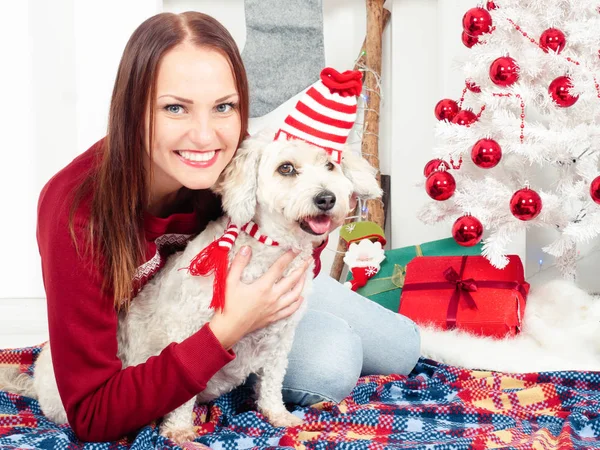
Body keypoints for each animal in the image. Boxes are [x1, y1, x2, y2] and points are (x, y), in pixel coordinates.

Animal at [0, 134, 382, 442]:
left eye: (330, 164)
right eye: (286, 168)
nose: (326, 198)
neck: (268, 248)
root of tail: (36, 382)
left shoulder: (280, 338)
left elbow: (273, 383)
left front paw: (277, 414)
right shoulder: (187, 331)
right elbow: (184, 385)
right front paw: (180, 429)